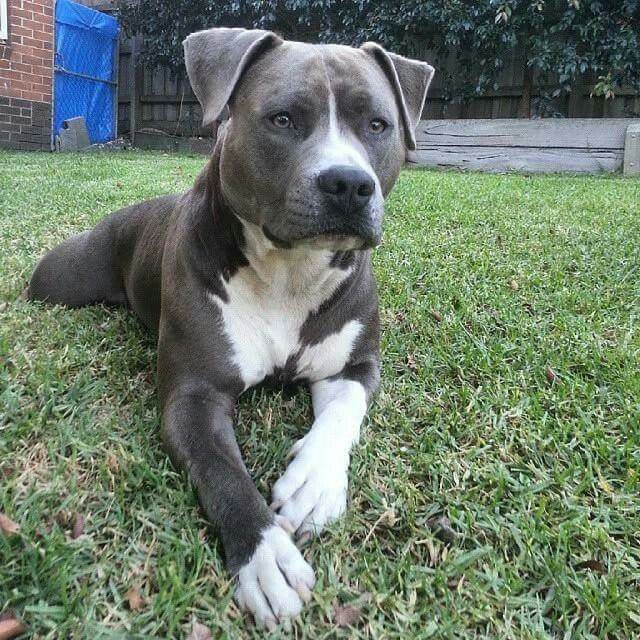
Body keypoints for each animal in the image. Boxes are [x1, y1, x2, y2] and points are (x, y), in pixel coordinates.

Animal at [27, 28, 432, 632]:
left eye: (377, 124)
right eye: (283, 118)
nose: (349, 183)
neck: (289, 274)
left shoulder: (355, 366)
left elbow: (342, 416)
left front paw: (314, 482)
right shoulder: (194, 395)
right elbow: (223, 472)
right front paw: (265, 556)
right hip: (58, 279)